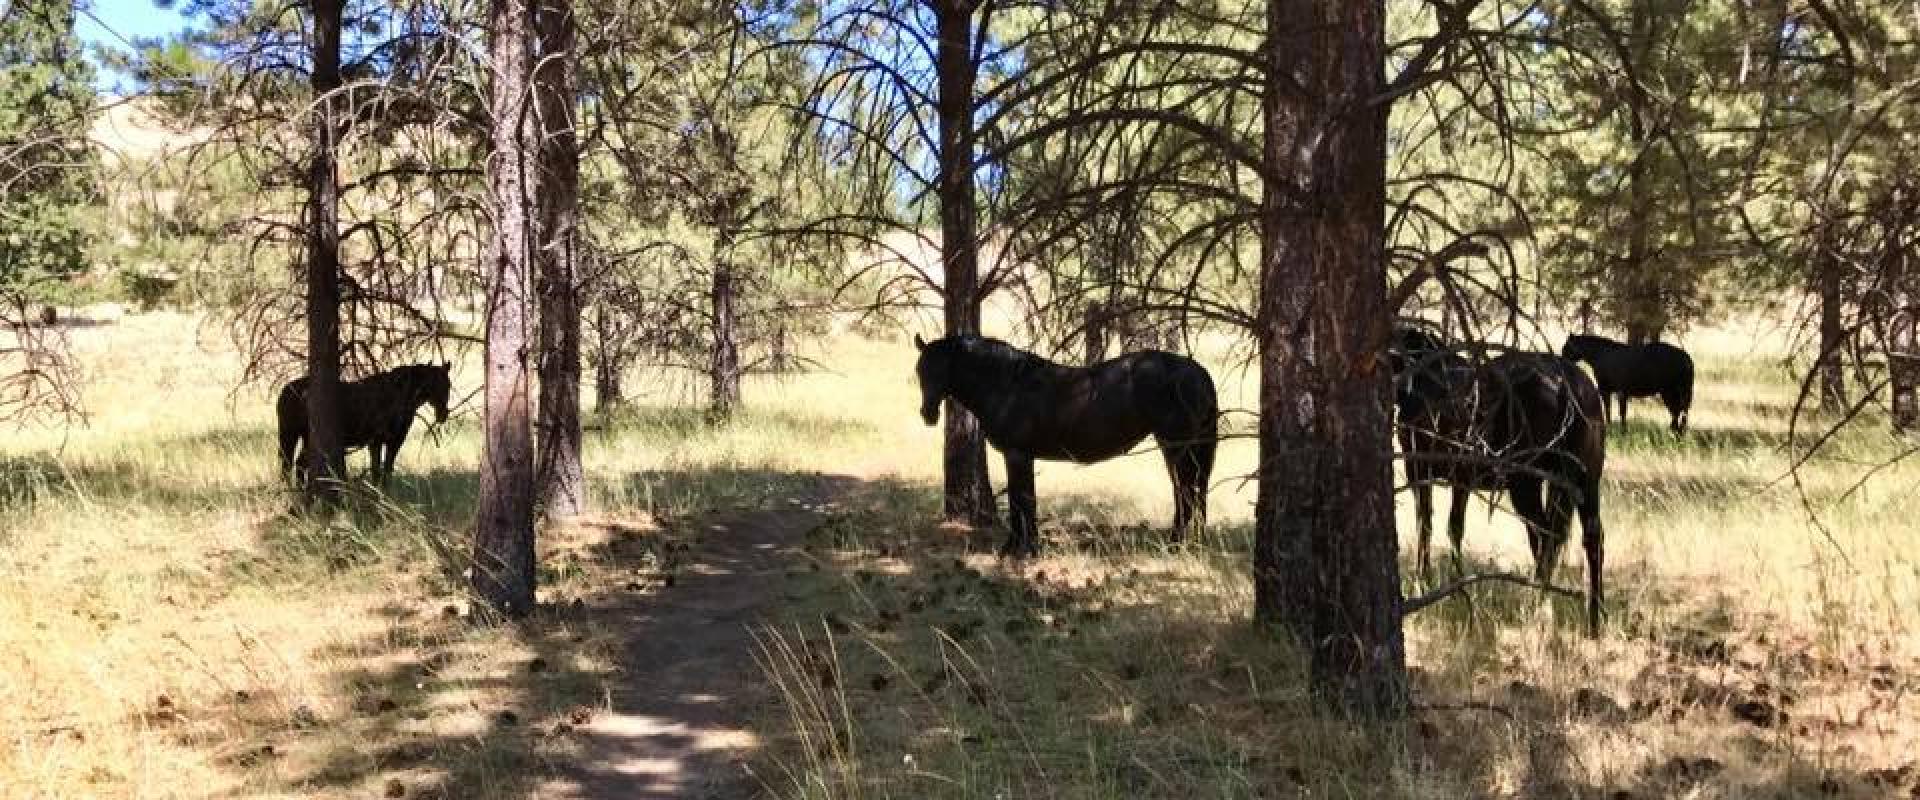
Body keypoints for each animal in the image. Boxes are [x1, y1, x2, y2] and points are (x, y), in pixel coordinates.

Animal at [277, 363, 452, 487]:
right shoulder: (382, 441)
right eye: (434, 384)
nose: (443, 414)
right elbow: (379, 469)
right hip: (292, 436)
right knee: (290, 465)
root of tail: (285, 390)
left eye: (448, 385)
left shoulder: (388, 442)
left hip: (303, 438)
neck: (399, 397)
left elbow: (384, 470)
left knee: (297, 464)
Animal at [912, 333, 1217, 557]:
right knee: (1193, 493)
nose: (928, 414)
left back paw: (1175, 545)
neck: (1009, 385)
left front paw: (1020, 550)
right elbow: (1022, 501)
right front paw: (1021, 548)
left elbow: (1021, 501)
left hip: (1177, 447)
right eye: (920, 371)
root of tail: (1198, 372)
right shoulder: (1022, 456)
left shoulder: (1018, 455)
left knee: (1185, 493)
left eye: (943, 369)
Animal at [1390, 327, 1609, 634]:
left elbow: (1427, 524)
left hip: (1526, 483)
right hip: (1586, 480)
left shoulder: (1419, 470)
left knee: (1546, 537)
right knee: (1590, 539)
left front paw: (1426, 581)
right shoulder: (1461, 480)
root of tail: (1570, 387)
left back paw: (1538, 603)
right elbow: (1454, 527)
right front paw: (1455, 589)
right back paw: (1594, 616)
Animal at [1560, 334, 1695, 435]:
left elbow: (1614, 410)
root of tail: (1686, 358)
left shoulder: (1610, 391)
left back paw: (1676, 431)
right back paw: (1676, 432)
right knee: (1678, 411)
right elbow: (1618, 411)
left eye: (1566, 347)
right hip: (1673, 392)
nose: (1561, 360)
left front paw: (1618, 430)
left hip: (1671, 392)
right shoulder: (1618, 392)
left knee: (1678, 411)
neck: (1602, 354)